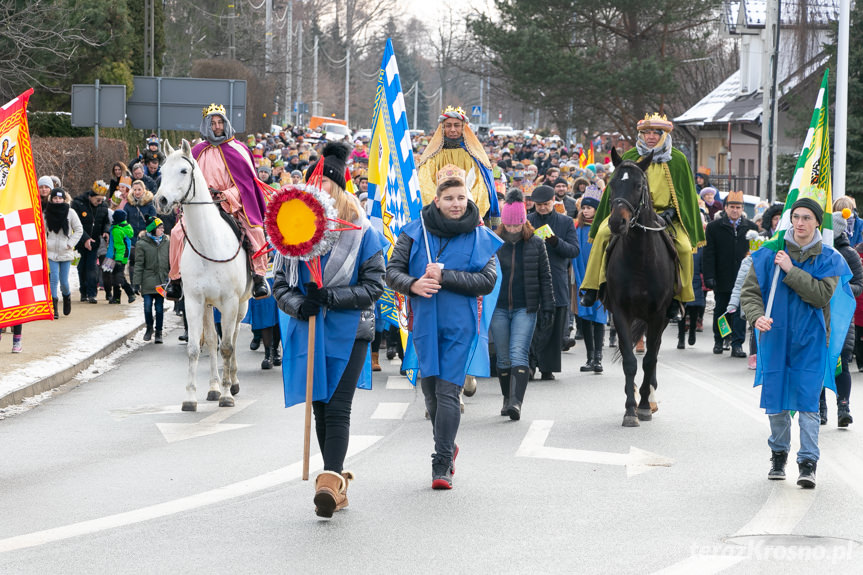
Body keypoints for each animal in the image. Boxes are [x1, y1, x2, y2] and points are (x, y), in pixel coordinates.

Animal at [154, 139, 251, 412]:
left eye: (184, 171)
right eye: (161, 171)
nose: (161, 200)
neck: (208, 244)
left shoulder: (230, 302)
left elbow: (227, 347)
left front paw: (228, 395)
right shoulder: (194, 301)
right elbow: (196, 348)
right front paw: (190, 397)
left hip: (241, 304)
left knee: (234, 336)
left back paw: (233, 383)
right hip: (209, 305)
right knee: (211, 339)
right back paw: (214, 387)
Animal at [604, 148, 680, 428]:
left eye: (639, 186)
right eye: (612, 183)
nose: (617, 222)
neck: (639, 259)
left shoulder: (657, 315)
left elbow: (648, 360)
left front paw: (645, 406)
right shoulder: (620, 313)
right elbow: (629, 361)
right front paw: (630, 410)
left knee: (654, 354)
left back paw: (651, 398)